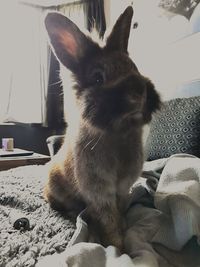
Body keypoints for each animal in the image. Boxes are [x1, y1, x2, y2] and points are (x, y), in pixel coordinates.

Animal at [43, 6, 161, 252]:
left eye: (134, 67)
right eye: (98, 78)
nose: (139, 91)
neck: (118, 134)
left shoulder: (122, 189)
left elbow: (120, 213)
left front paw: (125, 233)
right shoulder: (99, 193)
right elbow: (109, 221)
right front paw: (119, 249)